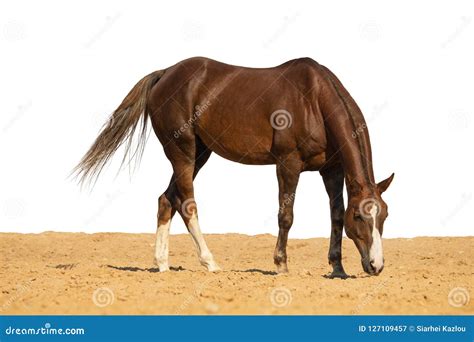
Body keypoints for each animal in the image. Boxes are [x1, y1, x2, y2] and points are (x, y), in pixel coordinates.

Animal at [73, 56, 392, 278]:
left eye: (384, 216)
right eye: (360, 217)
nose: (376, 265)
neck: (312, 100)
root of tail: (165, 73)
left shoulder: (332, 170)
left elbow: (335, 215)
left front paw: (337, 268)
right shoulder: (287, 164)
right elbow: (286, 215)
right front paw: (281, 265)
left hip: (200, 154)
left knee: (166, 199)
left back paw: (162, 264)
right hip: (183, 153)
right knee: (186, 203)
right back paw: (210, 262)